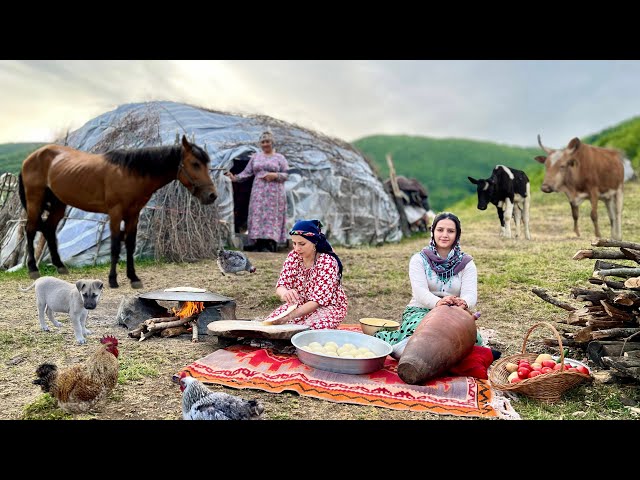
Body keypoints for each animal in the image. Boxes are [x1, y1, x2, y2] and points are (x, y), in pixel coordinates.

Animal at [18, 135, 218, 288]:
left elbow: (129, 244)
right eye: (195, 163)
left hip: (59, 204)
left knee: (49, 229)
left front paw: (133, 278)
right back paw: (33, 269)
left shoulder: (133, 215)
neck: (130, 173)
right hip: (35, 201)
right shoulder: (115, 213)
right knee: (30, 229)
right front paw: (112, 280)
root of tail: (30, 158)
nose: (212, 195)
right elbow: (115, 245)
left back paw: (60, 266)